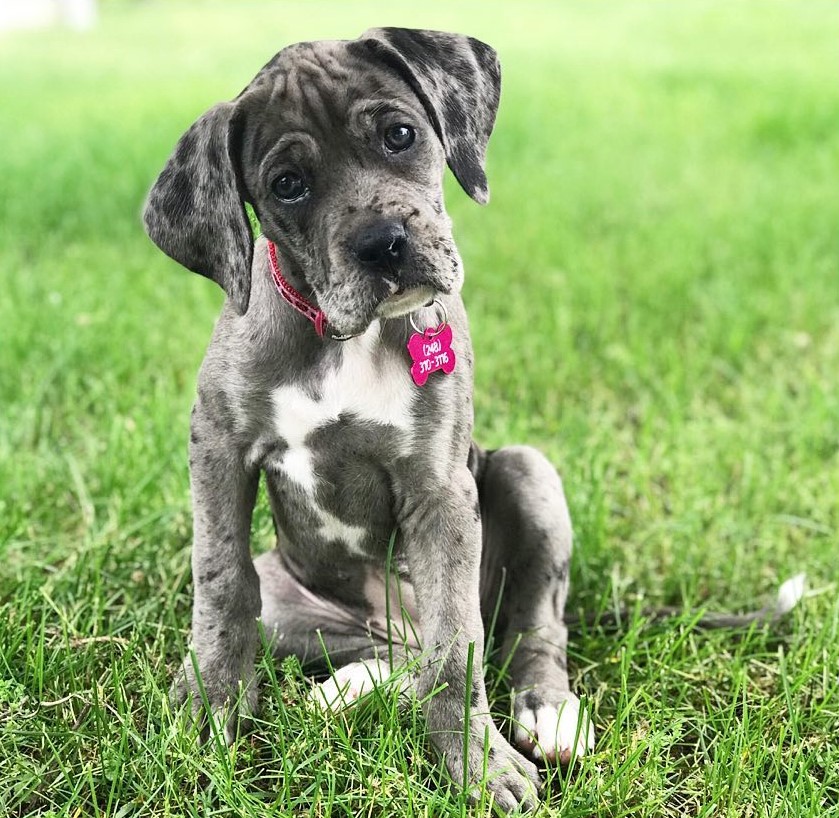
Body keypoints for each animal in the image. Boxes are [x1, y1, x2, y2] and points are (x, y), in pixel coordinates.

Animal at [148, 25, 596, 808]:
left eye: (399, 135)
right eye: (287, 185)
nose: (383, 243)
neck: (341, 336)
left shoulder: (439, 492)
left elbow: (457, 651)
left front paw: (477, 766)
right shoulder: (218, 446)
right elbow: (221, 582)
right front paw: (210, 704)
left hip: (525, 469)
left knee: (522, 627)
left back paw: (547, 710)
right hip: (291, 598)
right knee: (390, 650)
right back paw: (348, 688)